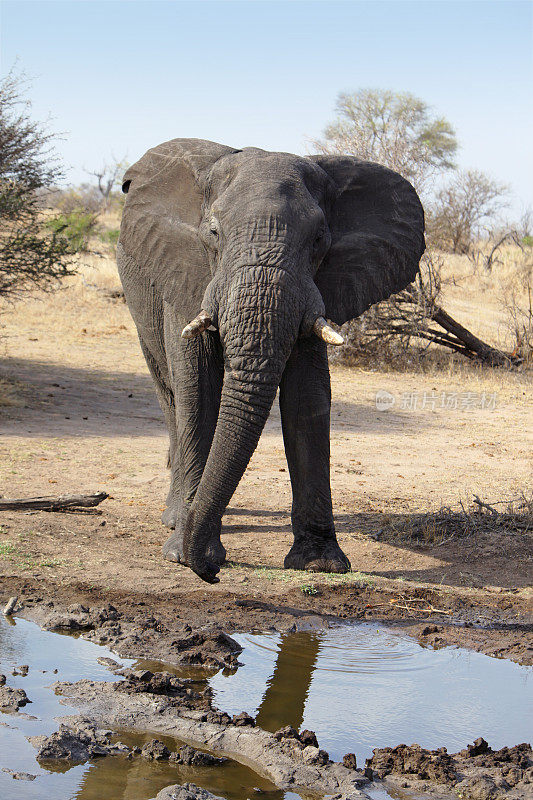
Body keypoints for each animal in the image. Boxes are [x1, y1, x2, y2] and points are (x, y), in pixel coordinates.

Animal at [117, 141, 424, 584]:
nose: (212, 574)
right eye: (213, 233)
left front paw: (319, 565)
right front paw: (181, 555)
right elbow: (198, 387)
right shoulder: (187, 272)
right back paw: (175, 519)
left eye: (319, 239)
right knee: (170, 394)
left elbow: (307, 397)